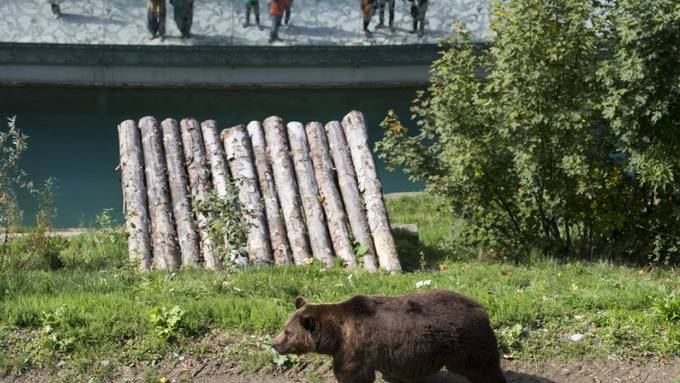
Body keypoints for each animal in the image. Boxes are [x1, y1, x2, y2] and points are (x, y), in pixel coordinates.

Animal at [270, 290, 504, 382]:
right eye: (283, 327)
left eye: (288, 332)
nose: (274, 343)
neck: (335, 335)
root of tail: (481, 308)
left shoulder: (354, 348)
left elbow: (353, 375)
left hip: (466, 342)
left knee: (484, 368)